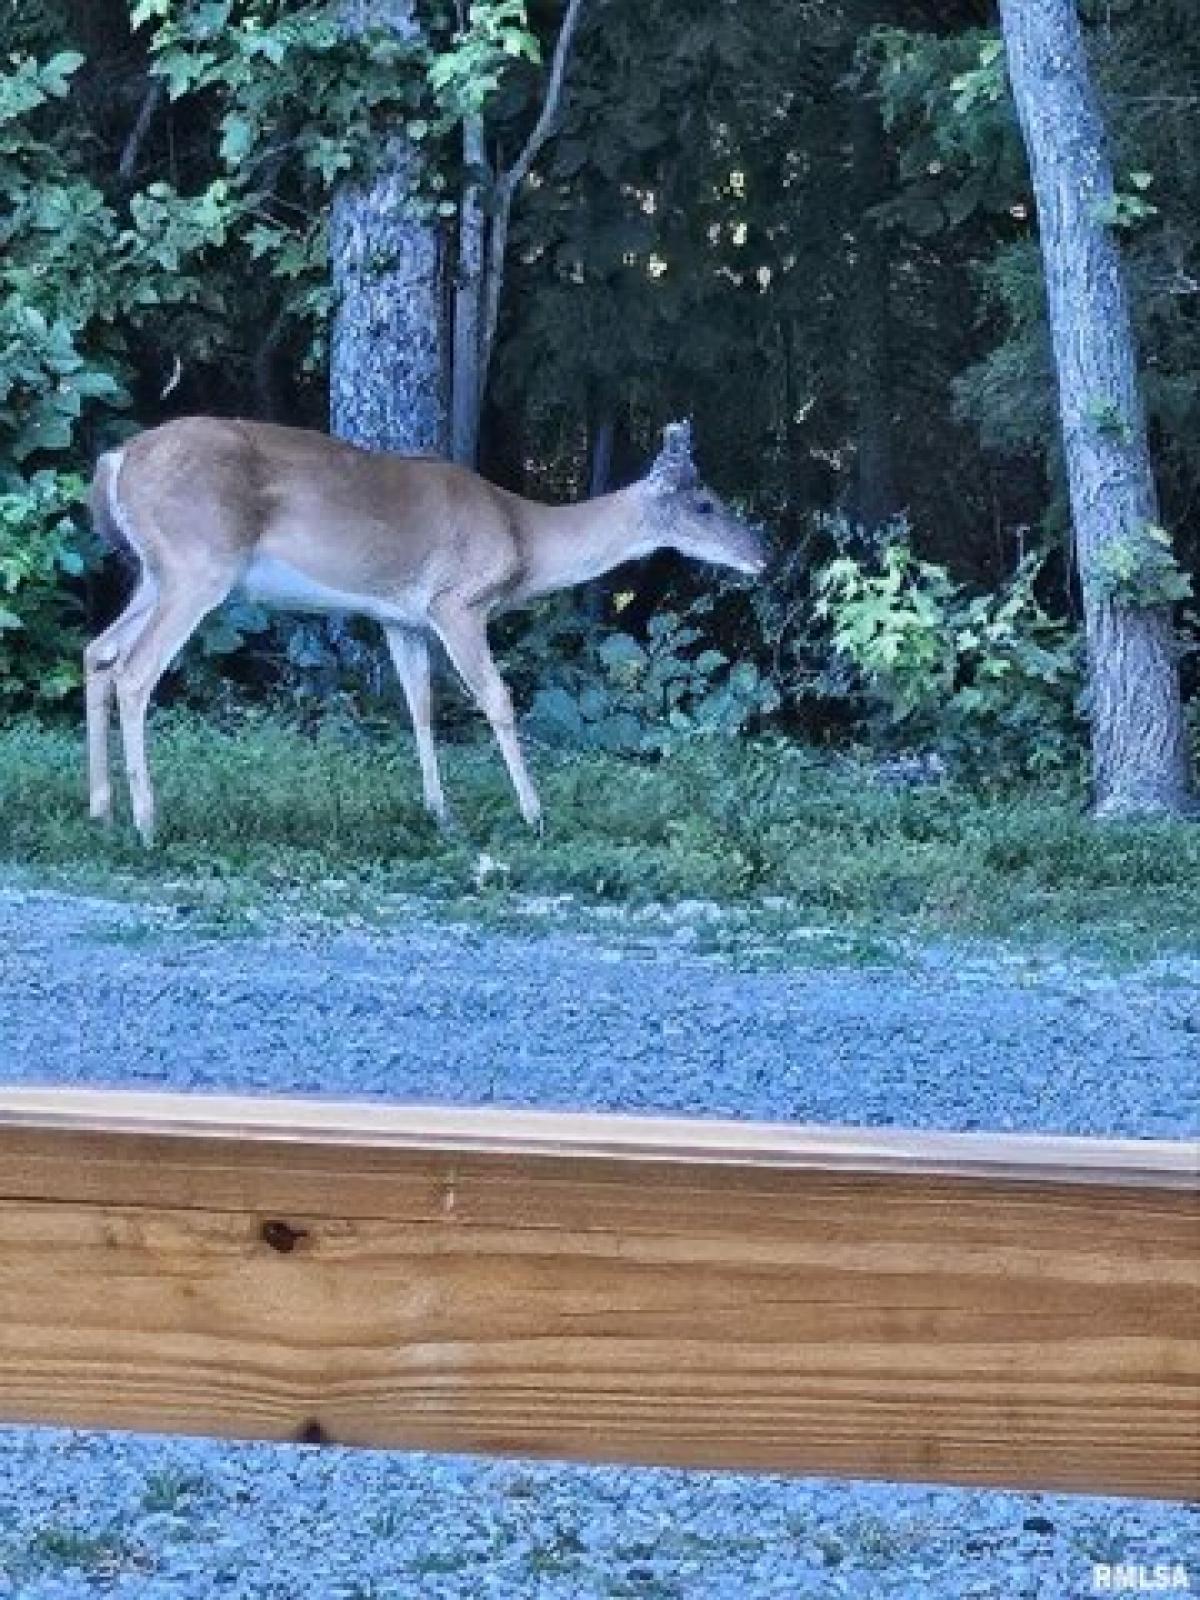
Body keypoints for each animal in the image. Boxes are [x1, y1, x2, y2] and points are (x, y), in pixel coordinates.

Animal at [89, 412, 774, 844]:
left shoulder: (401, 618)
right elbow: (497, 699)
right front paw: (534, 815)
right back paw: (148, 823)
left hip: (157, 572)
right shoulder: (458, 602)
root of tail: (115, 459)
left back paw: (101, 811)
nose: (763, 554)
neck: (524, 536)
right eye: (705, 503)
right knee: (134, 670)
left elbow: (419, 704)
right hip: (198, 564)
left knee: (98, 652)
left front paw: (439, 814)